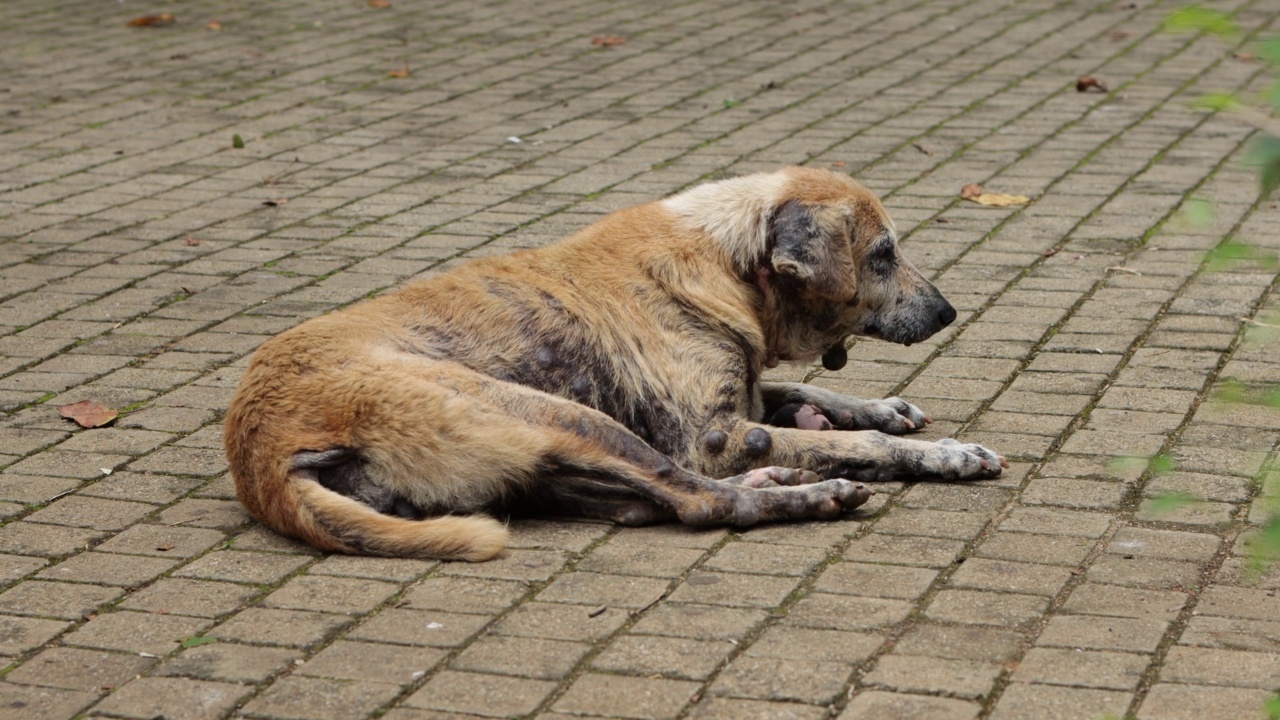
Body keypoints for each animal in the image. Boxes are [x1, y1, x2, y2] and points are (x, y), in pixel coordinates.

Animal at [225, 165, 1003, 558]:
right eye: (884, 254)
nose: (947, 313)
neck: (726, 257)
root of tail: (259, 457)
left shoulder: (745, 402)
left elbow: (819, 399)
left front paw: (883, 407)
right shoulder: (715, 437)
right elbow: (861, 442)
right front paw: (945, 453)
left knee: (647, 502)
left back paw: (782, 475)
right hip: (560, 416)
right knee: (701, 502)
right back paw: (810, 493)